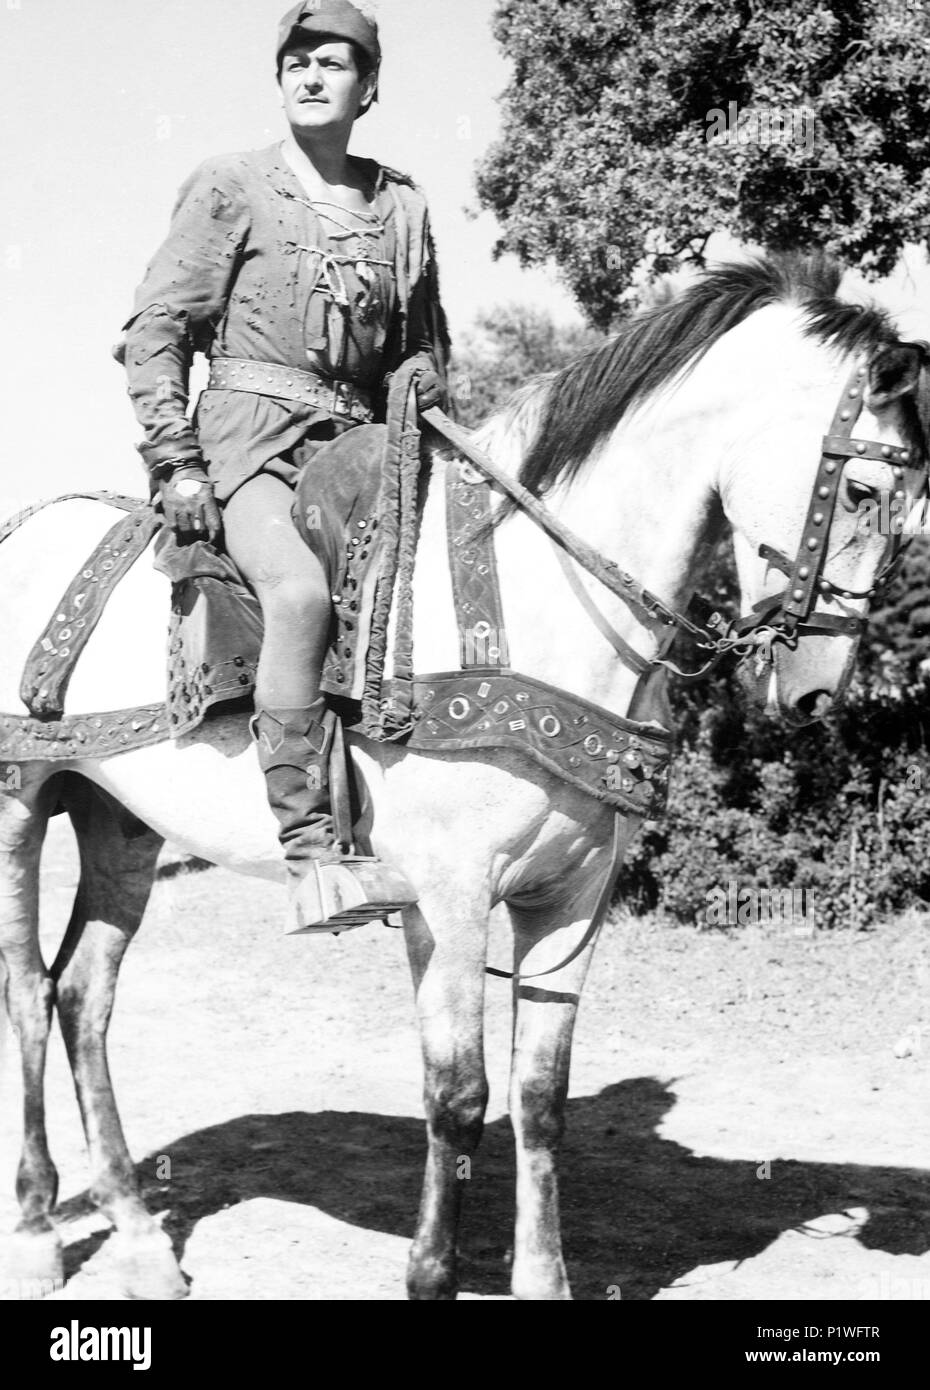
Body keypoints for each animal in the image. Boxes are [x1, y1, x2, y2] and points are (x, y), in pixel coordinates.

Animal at [1, 252, 928, 1301]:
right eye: (861, 491)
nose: (816, 688)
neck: (535, 600)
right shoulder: (446, 898)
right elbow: (458, 1095)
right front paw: (431, 1272)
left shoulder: (574, 896)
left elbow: (539, 1095)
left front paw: (543, 1277)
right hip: (20, 805)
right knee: (28, 993)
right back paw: (35, 1234)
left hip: (120, 821)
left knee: (82, 996)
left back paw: (142, 1242)